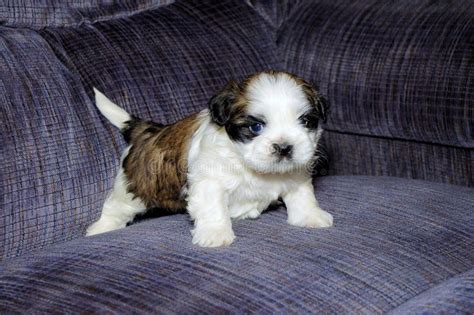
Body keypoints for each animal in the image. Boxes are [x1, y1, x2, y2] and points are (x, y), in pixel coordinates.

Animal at [87, 71, 336, 247]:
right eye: (255, 127)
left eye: (306, 121)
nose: (284, 147)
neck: (249, 165)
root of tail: (150, 131)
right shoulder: (209, 182)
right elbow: (212, 207)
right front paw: (215, 234)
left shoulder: (296, 175)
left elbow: (302, 195)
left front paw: (310, 216)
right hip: (133, 186)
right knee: (115, 206)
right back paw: (102, 228)